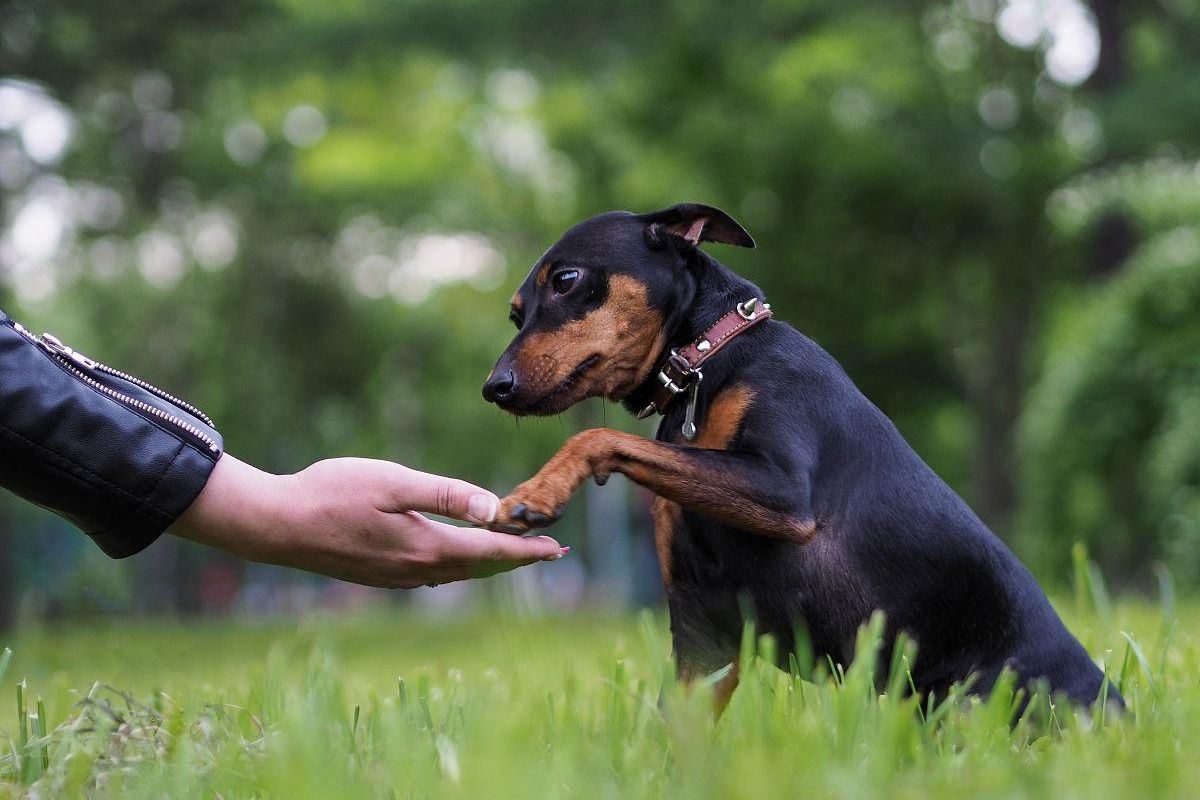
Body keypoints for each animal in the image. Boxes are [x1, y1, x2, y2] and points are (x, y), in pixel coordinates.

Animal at [482, 201, 1118, 714]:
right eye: (515, 314)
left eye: (567, 280)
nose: (494, 387)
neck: (710, 356)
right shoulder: (703, 632)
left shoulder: (782, 492)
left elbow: (594, 437)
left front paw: (536, 493)